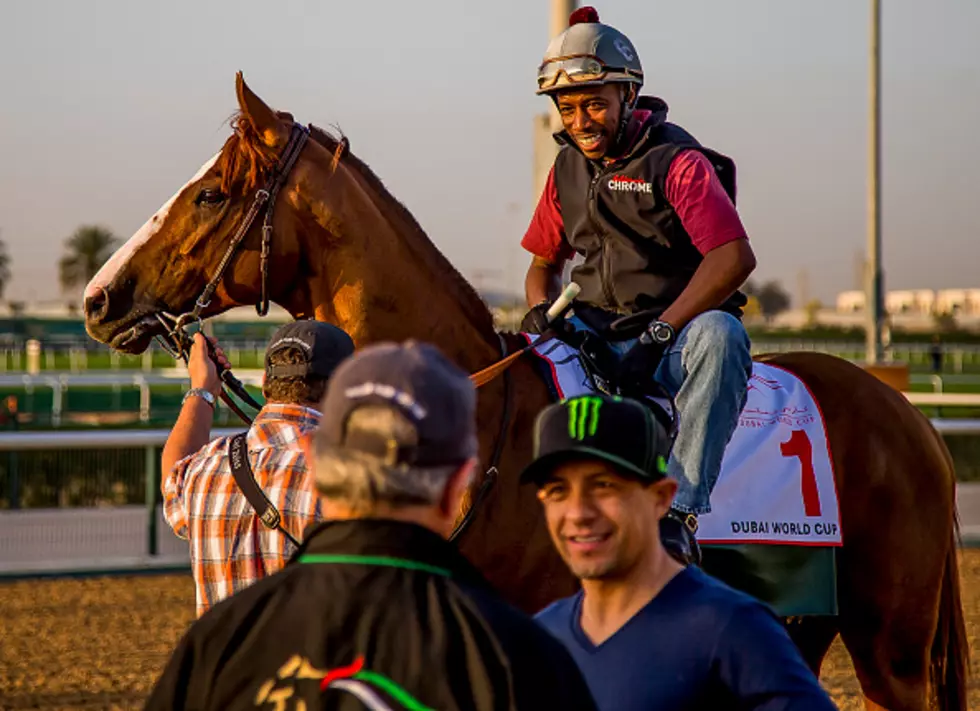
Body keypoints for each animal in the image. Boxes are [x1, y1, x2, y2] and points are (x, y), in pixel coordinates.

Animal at [80, 75, 968, 708]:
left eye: (210, 192)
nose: (97, 296)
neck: (475, 420)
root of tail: (910, 418)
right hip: (802, 625)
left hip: (891, 646)